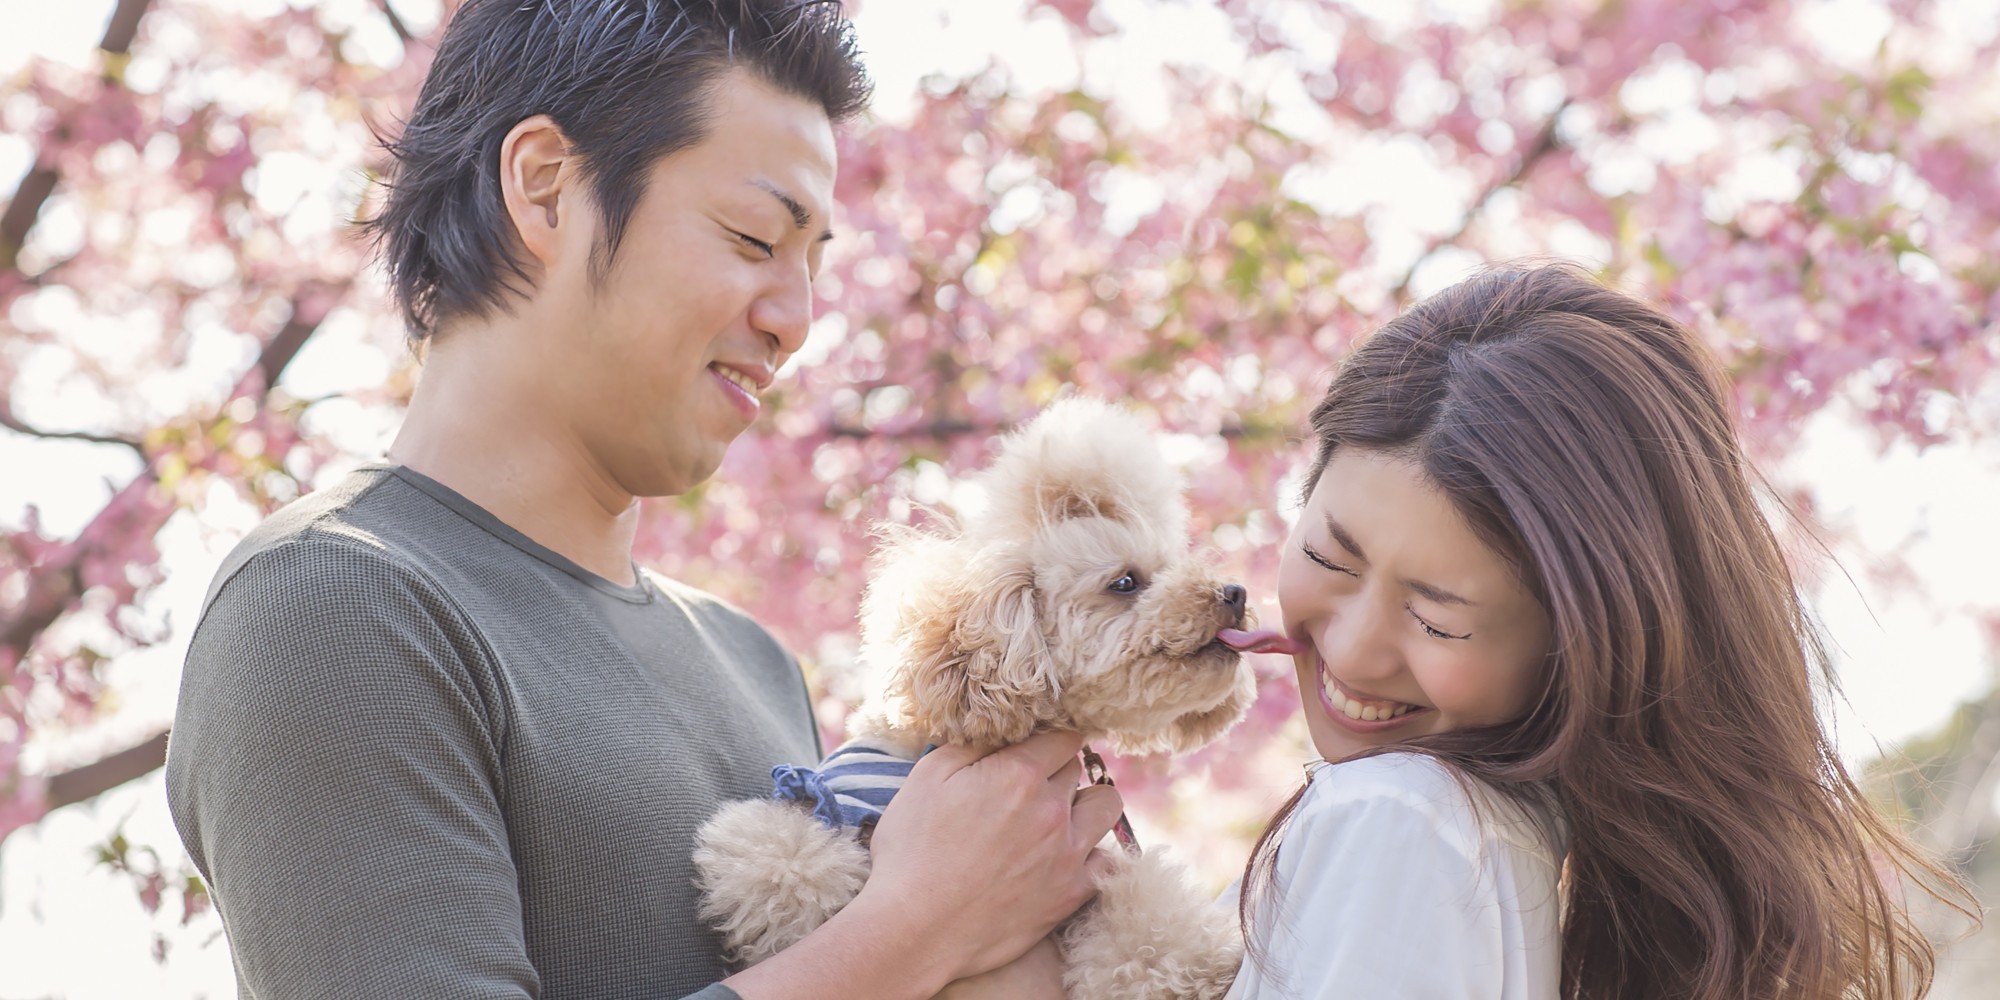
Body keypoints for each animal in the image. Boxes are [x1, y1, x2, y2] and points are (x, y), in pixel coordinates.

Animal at [688, 398, 1288, 1000]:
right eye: (1124, 583)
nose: (1235, 593)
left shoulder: (1096, 882)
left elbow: (1140, 926)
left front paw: (1201, 969)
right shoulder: (812, 797)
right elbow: (777, 857)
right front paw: (811, 914)